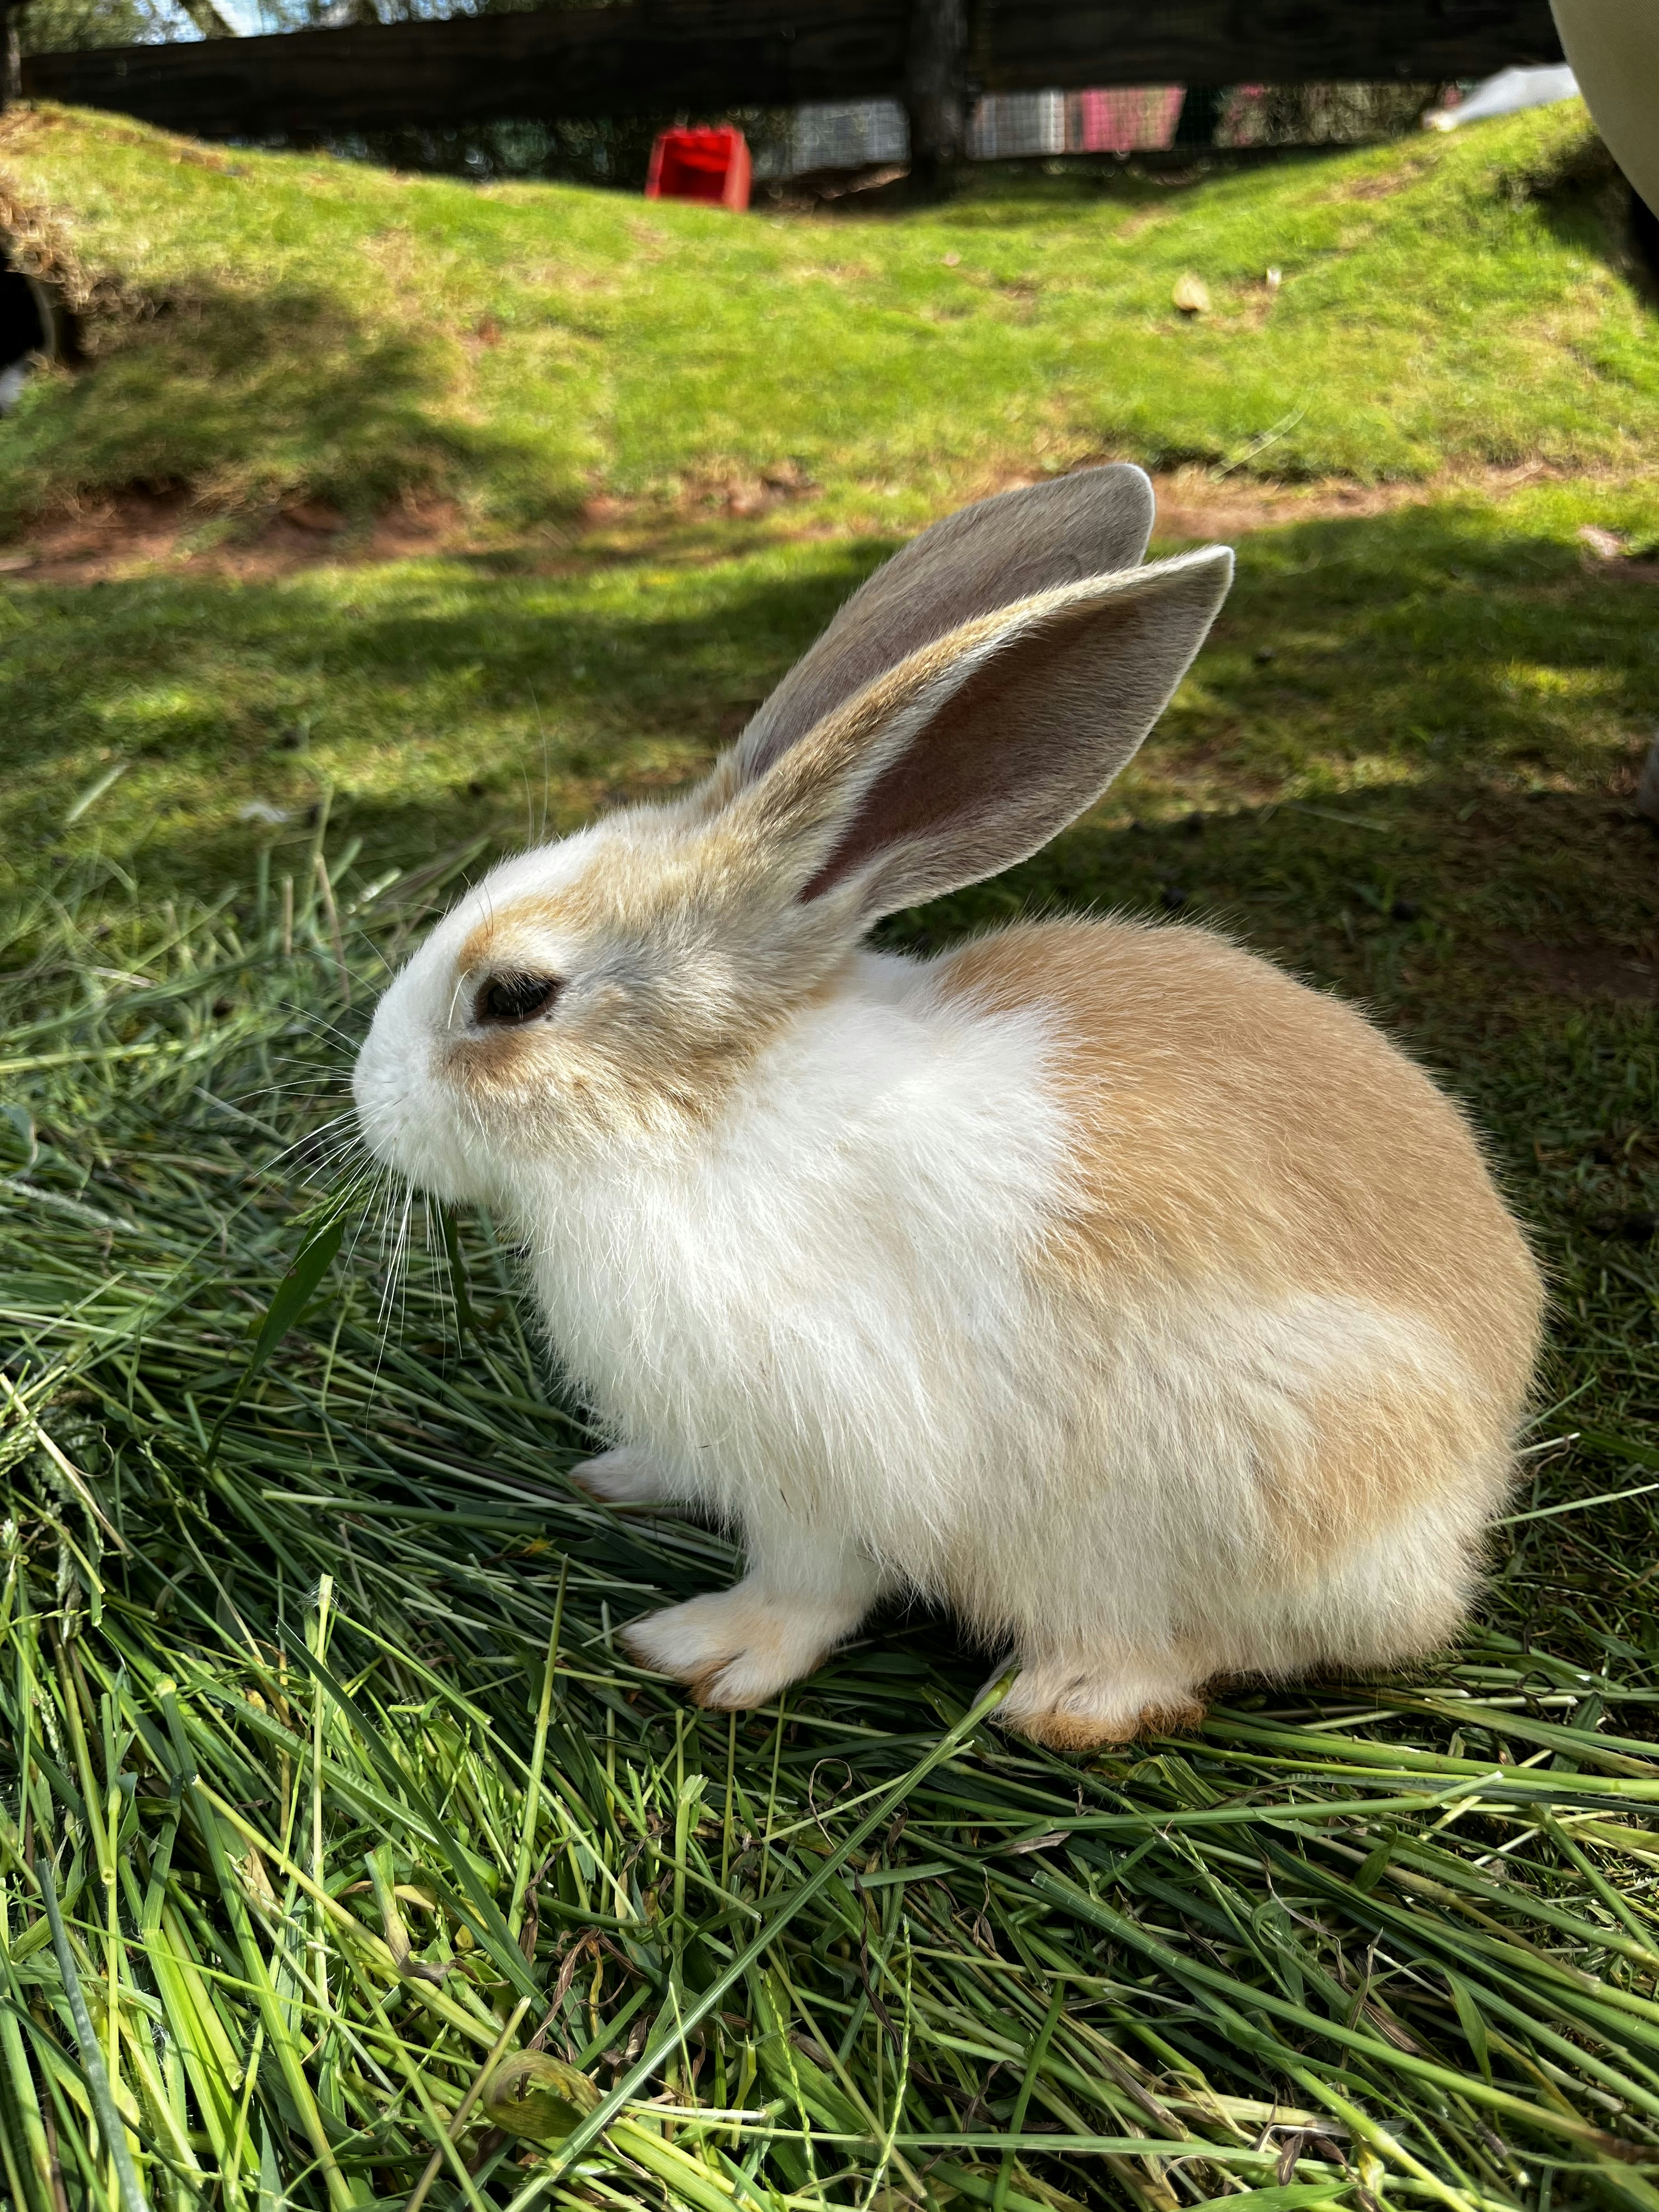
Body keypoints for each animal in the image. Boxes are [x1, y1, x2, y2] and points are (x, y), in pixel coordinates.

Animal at [352, 462, 1543, 1749]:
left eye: (515, 996)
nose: (369, 1099)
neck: (704, 1108)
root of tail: (1453, 1521)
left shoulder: (831, 1454)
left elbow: (809, 1585)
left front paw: (706, 1651)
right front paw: (621, 1477)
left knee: (1195, 1645)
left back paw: (1066, 1702)